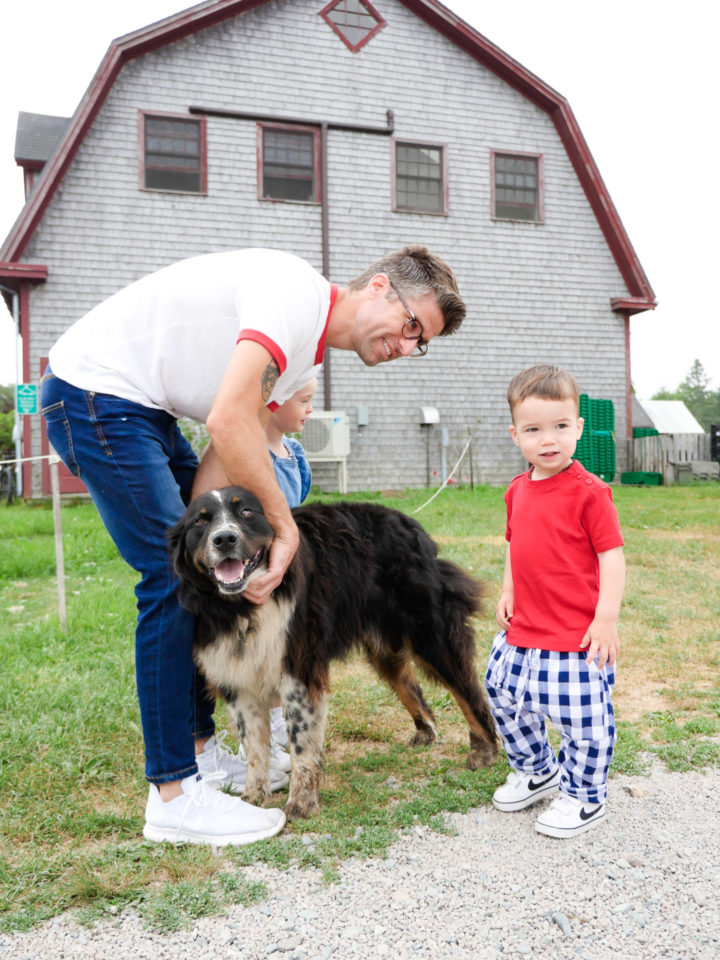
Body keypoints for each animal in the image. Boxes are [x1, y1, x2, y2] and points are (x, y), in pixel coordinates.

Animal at [169, 488, 498, 816]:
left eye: (247, 512)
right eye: (201, 521)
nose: (225, 539)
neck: (240, 608)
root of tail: (410, 524)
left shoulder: (298, 668)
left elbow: (301, 741)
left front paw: (301, 802)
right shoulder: (238, 679)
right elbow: (254, 747)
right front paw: (253, 799)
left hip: (429, 633)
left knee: (467, 690)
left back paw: (484, 749)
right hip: (385, 644)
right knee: (409, 684)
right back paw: (426, 729)